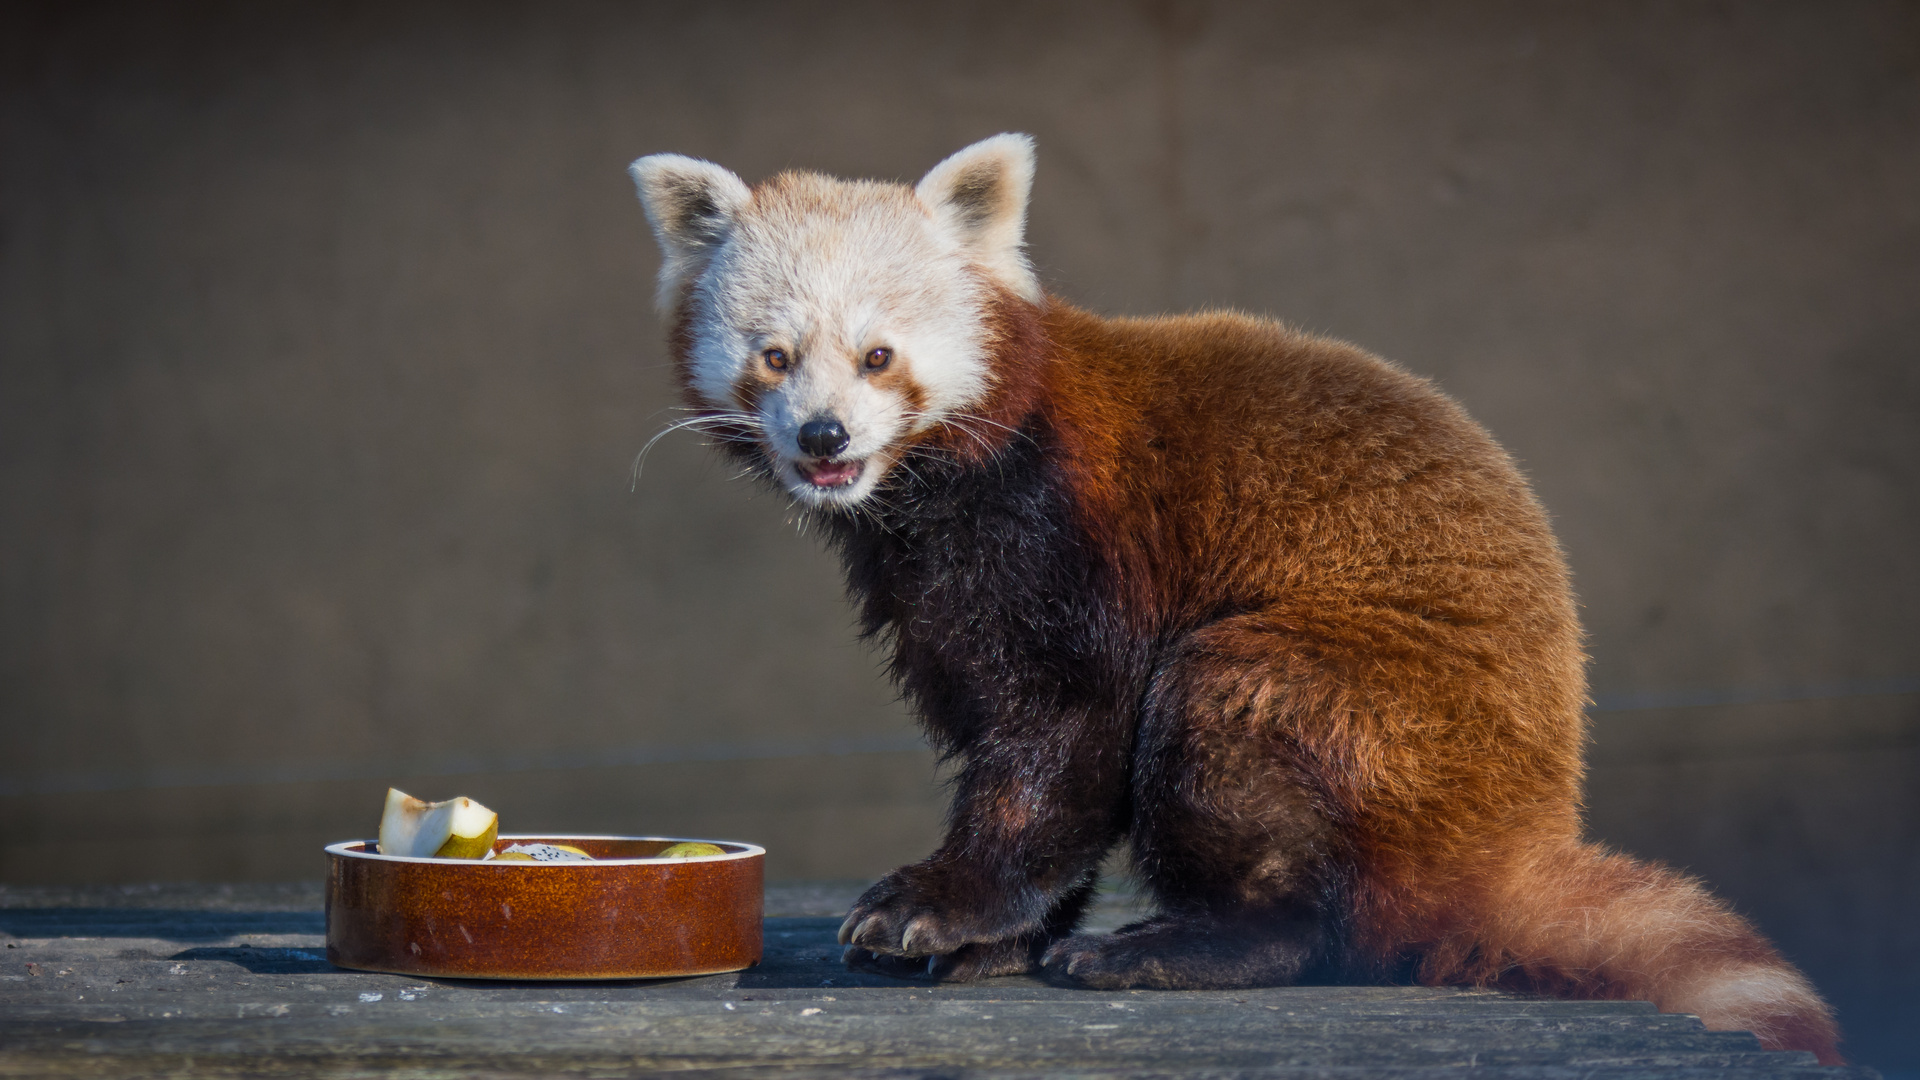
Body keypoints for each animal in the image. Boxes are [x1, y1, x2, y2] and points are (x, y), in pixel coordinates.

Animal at [629, 132, 1843, 1060]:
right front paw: (999, 936)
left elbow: (1062, 740)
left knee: (1235, 744)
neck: (935, 500)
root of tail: (1512, 828)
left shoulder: (1069, 543)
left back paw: (1179, 945)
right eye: (775, 357)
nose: (825, 436)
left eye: (879, 356)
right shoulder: (932, 604)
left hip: (1351, 701)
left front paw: (942, 904)